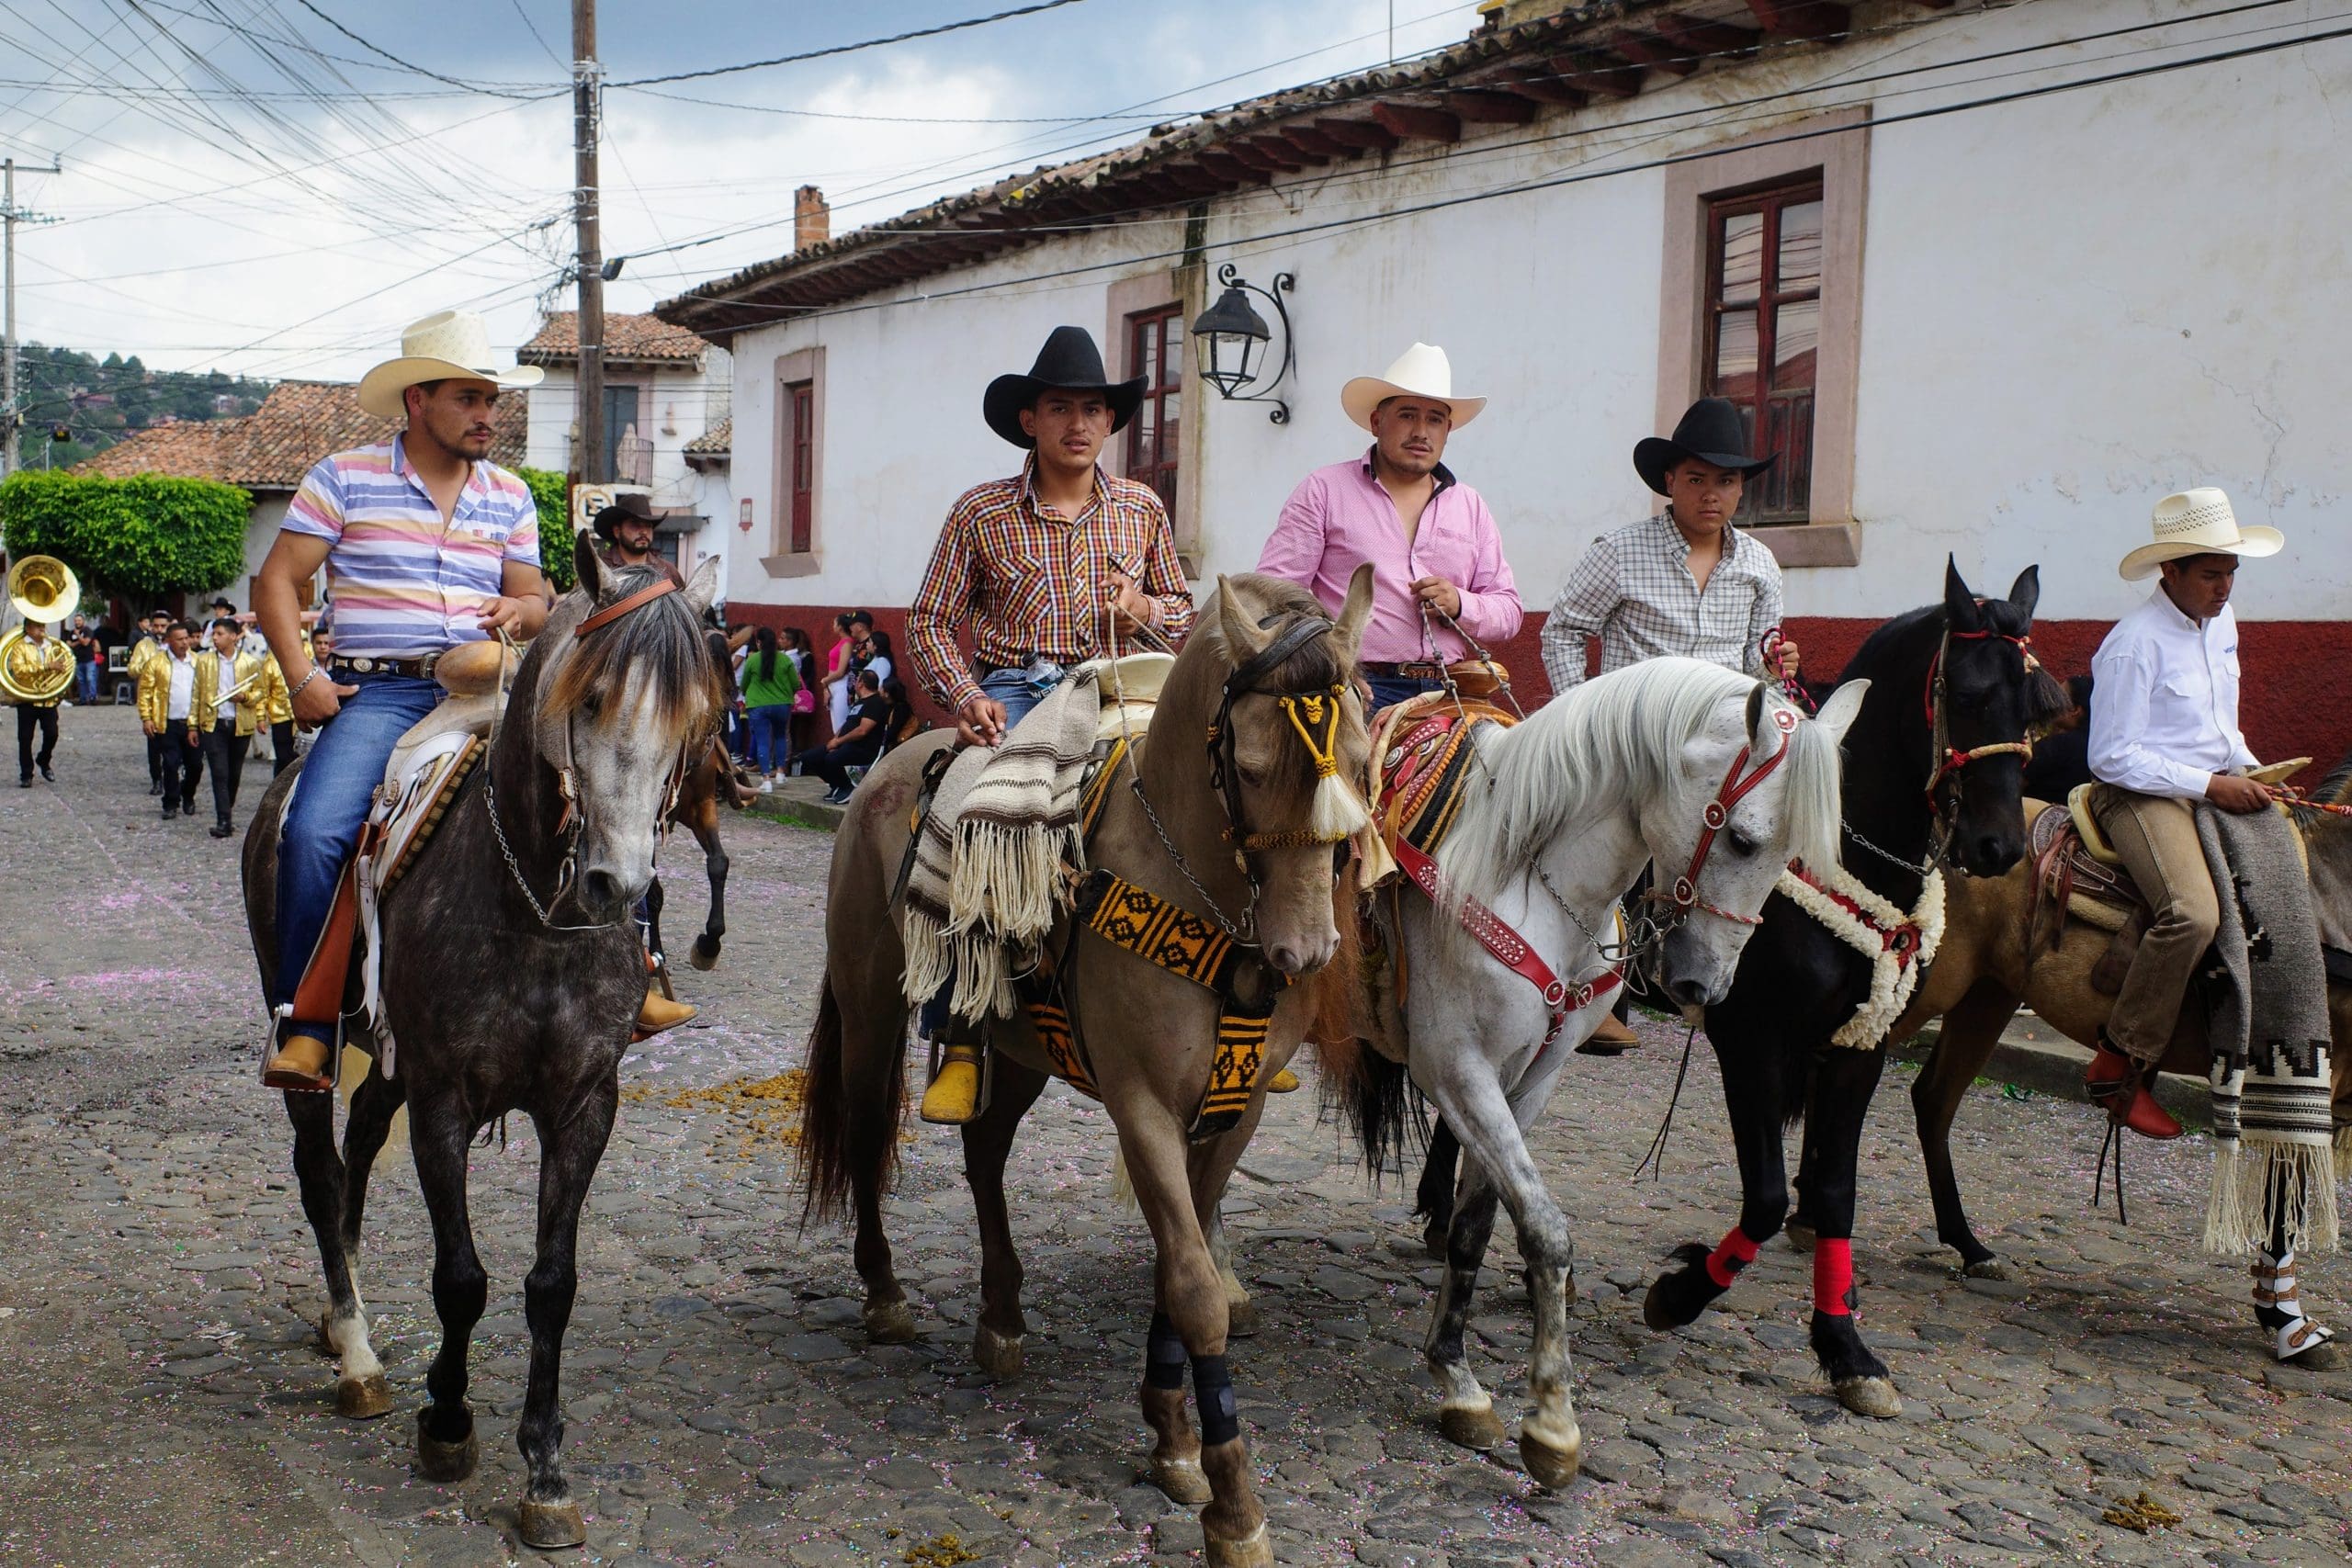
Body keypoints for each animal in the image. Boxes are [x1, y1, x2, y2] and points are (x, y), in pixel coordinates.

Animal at [240, 540, 721, 1550]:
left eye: (694, 715)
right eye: (590, 698)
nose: (620, 886)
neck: (532, 906)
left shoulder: (583, 1105)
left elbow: (552, 1284)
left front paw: (545, 1469)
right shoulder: (445, 1102)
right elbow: (461, 1278)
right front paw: (449, 1420)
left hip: (389, 1060)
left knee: (357, 1143)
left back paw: (342, 1322)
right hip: (314, 1036)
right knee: (320, 1168)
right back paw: (354, 1352)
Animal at [797, 570, 1372, 1568]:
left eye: (1362, 758)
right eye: (1253, 764)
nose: (1304, 952)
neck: (1202, 888)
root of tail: (888, 763)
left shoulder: (1233, 1109)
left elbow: (1181, 1267)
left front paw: (1172, 1439)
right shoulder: (1142, 1106)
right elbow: (1194, 1287)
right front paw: (1232, 1506)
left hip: (1021, 1048)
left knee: (985, 1152)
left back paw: (1000, 1317)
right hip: (872, 1011)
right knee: (869, 1138)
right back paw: (885, 1297)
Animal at [1327, 658, 1861, 1485]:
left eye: (1791, 862)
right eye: (1743, 840)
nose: (1706, 986)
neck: (1525, 873)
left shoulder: (1528, 1079)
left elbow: (1480, 1226)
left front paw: (1456, 1374)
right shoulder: (1457, 1070)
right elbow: (1546, 1230)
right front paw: (1552, 1418)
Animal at [1632, 561, 2065, 1416]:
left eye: (2035, 706)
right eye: (1968, 693)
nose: (1998, 846)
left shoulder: (1861, 1045)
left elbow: (1836, 1191)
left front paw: (1845, 1348)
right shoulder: (1749, 1041)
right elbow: (1765, 1196)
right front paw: (1682, 1292)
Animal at [1886, 746, 2352, 1360]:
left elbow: (2287, 1201)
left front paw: (2279, 1312)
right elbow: (2285, 1204)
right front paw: (2287, 1323)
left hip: (1986, 997)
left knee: (1933, 1100)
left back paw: (1969, 1246)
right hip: (1926, 985)